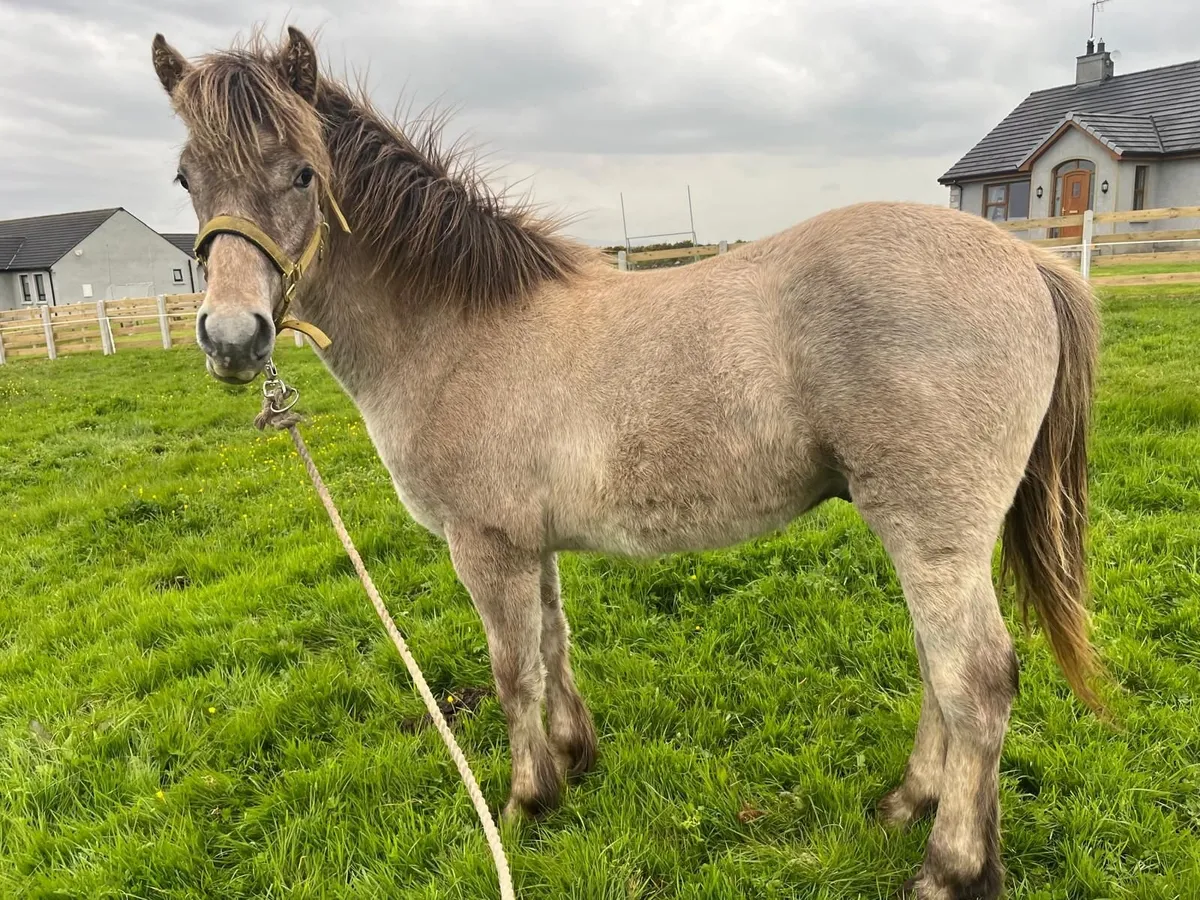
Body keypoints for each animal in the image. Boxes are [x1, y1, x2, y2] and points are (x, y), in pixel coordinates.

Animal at [149, 26, 1103, 900]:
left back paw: (950, 866)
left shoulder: (484, 547)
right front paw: (575, 759)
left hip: (932, 531)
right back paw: (908, 804)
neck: (458, 329)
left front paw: (525, 800)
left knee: (975, 678)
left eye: (302, 173)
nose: (232, 340)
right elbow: (553, 643)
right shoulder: (528, 545)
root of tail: (1029, 260)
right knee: (939, 668)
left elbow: (512, 671)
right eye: (186, 178)